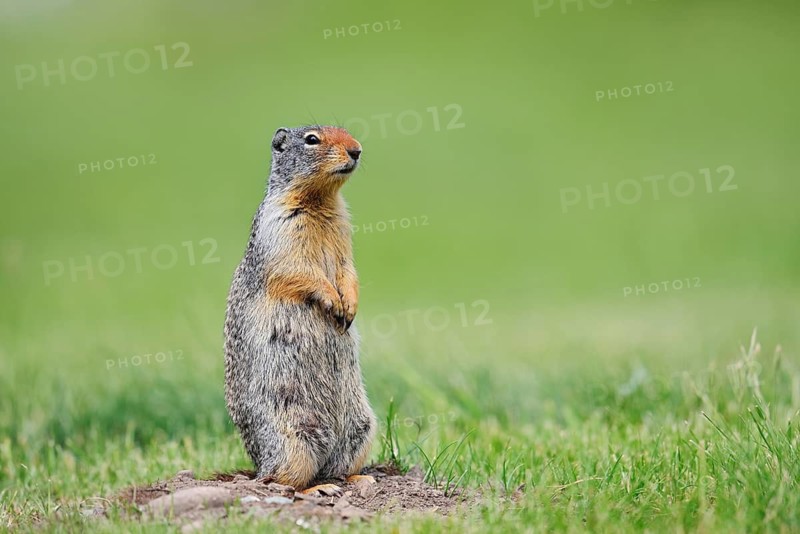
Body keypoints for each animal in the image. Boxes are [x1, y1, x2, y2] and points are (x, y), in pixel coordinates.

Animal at [223, 125, 376, 494]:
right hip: (292, 438)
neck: (320, 201)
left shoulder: (344, 232)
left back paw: (358, 478)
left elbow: (348, 270)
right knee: (281, 481)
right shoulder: (280, 229)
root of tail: (258, 465)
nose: (357, 150)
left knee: (337, 467)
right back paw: (315, 489)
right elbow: (296, 271)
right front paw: (333, 301)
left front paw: (349, 306)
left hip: (362, 427)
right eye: (311, 139)